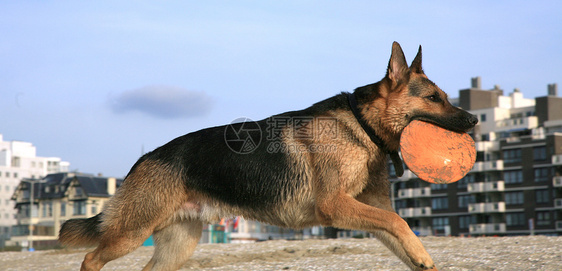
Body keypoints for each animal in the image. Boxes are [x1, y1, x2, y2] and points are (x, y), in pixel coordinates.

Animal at [58, 41, 476, 270]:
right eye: (433, 98)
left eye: (445, 96)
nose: (473, 120)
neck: (360, 125)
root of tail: (141, 161)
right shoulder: (336, 206)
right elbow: (399, 222)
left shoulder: (365, 211)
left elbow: (400, 230)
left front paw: (421, 257)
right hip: (131, 233)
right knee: (91, 259)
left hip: (175, 247)